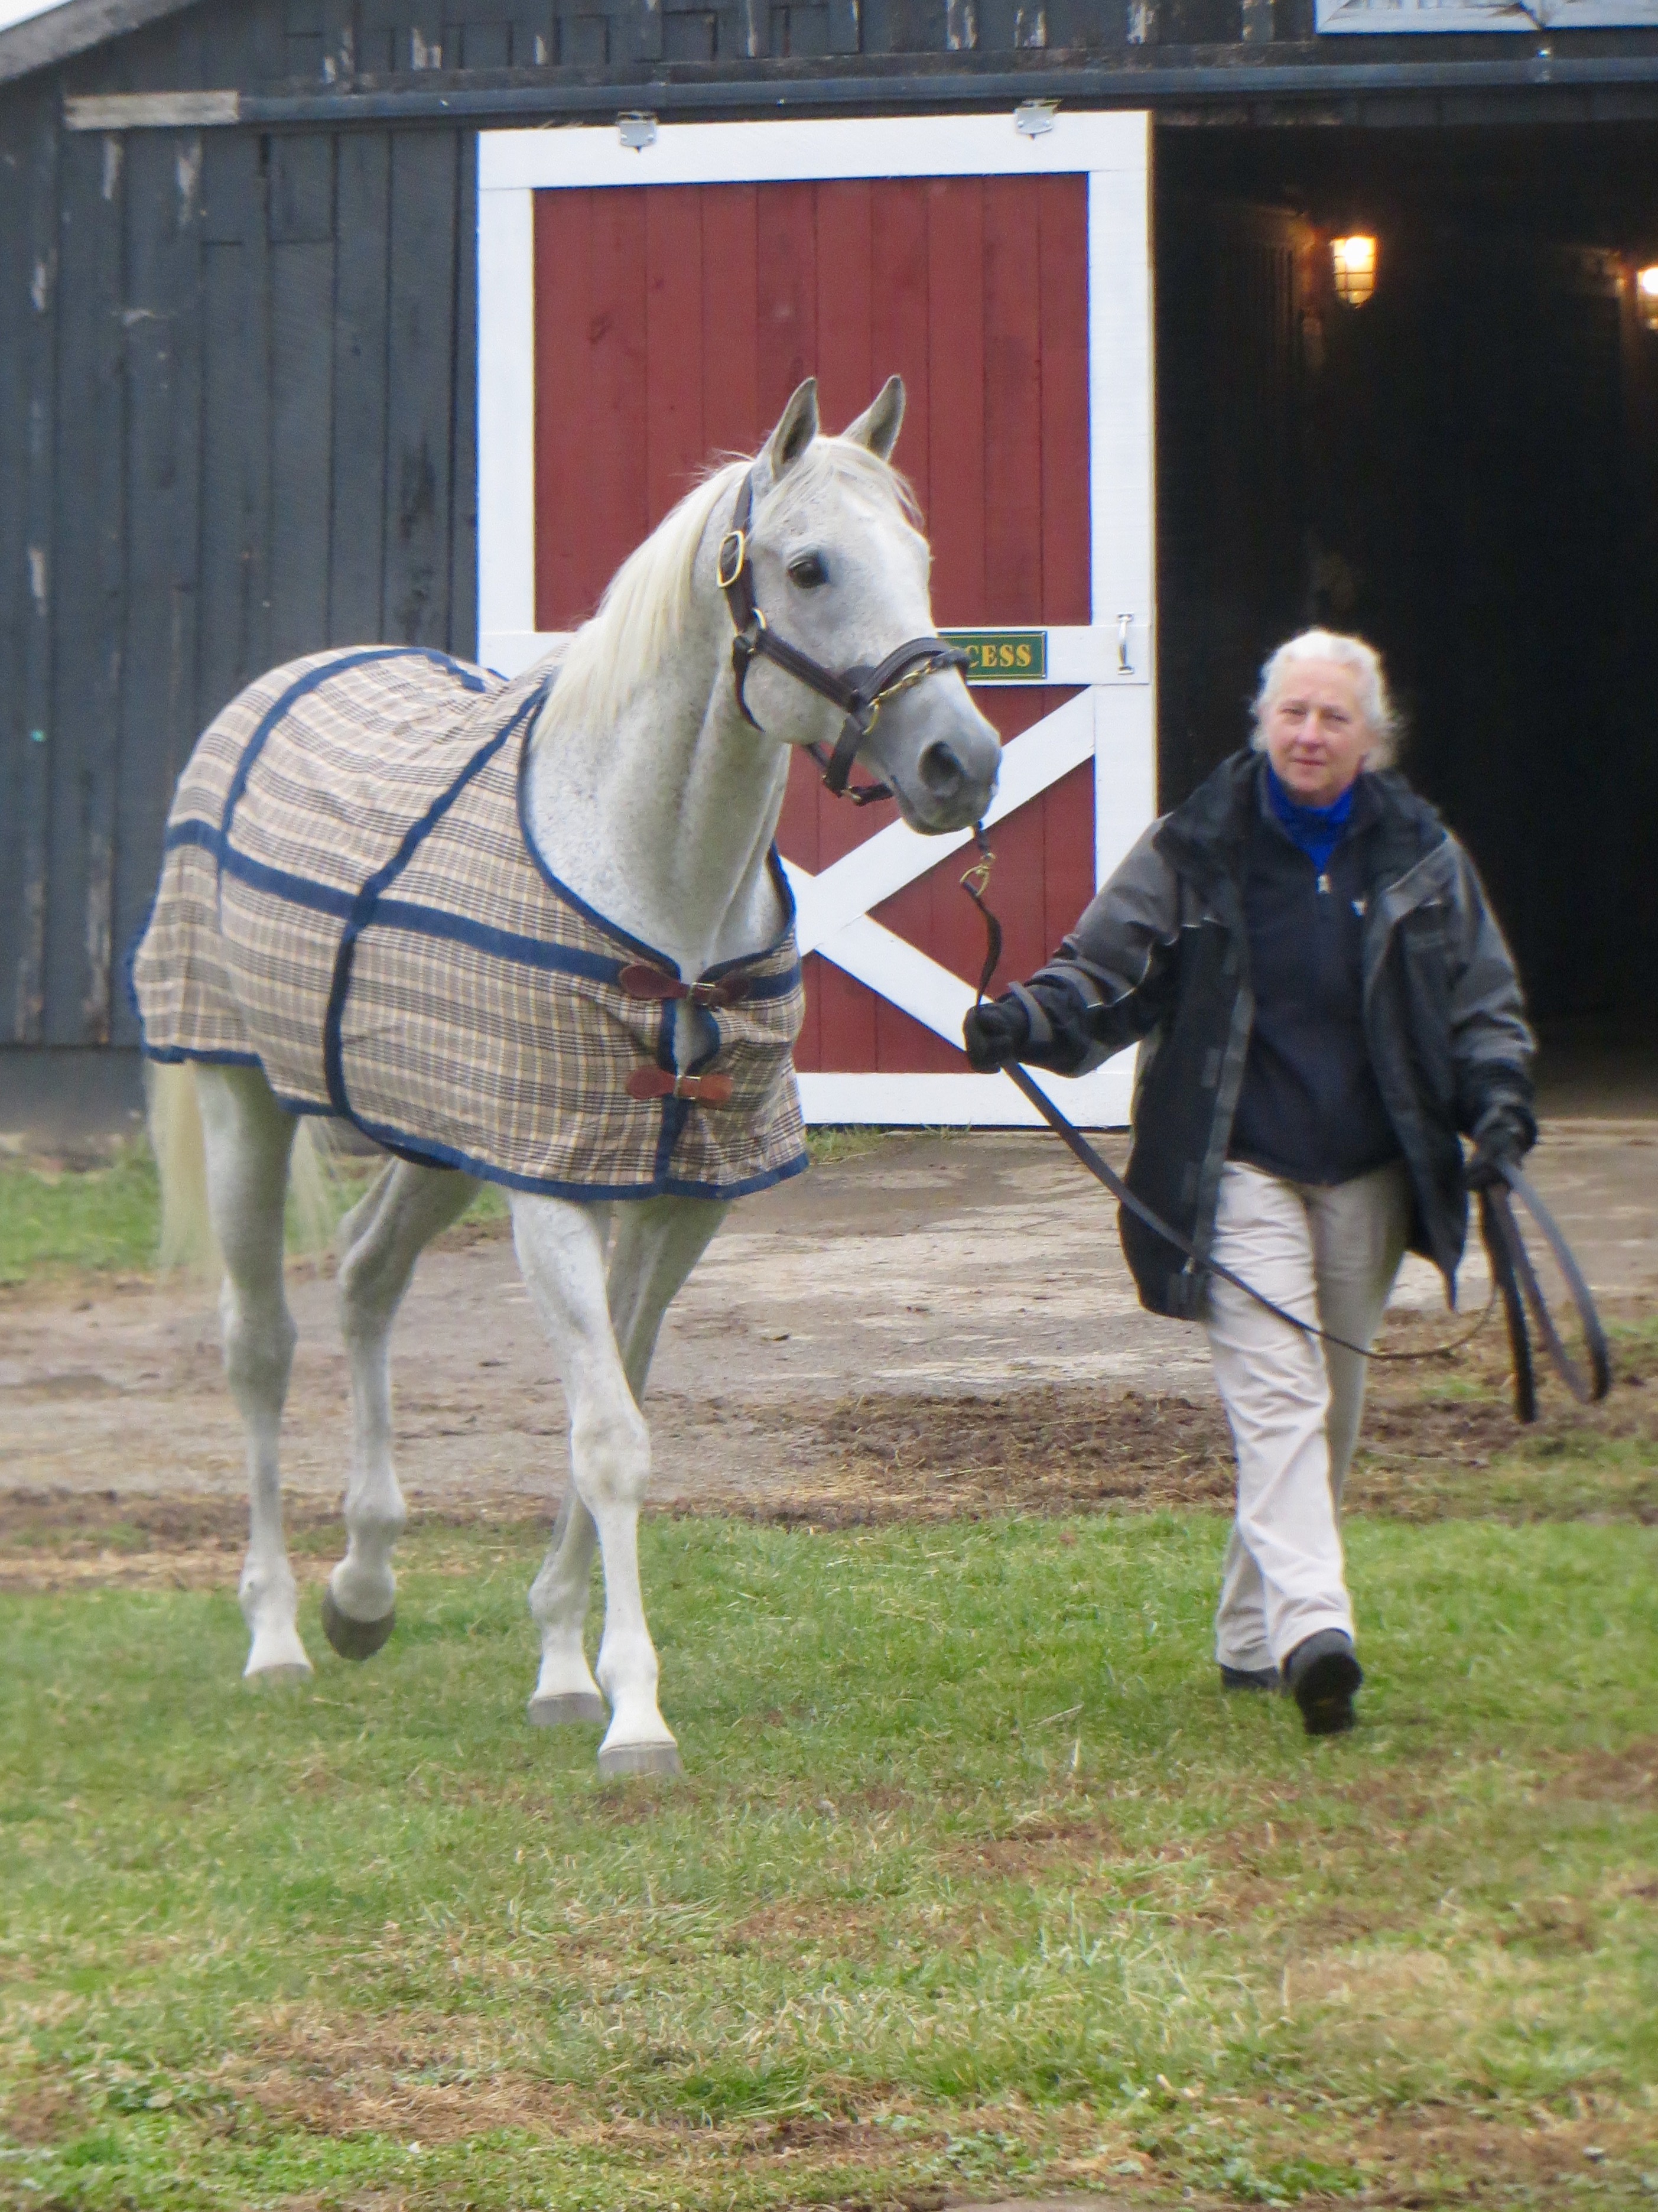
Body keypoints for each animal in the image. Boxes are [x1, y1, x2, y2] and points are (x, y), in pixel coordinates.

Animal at [142, 376, 999, 1760]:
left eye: (918, 560)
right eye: (808, 567)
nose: (959, 762)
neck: (658, 885)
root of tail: (277, 685)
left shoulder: (666, 1194)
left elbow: (616, 1402)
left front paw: (560, 1661)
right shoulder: (549, 1191)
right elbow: (607, 1437)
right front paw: (634, 1712)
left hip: (442, 1137)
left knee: (368, 1277)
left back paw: (364, 1586)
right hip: (241, 1107)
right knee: (259, 1343)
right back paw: (276, 1632)